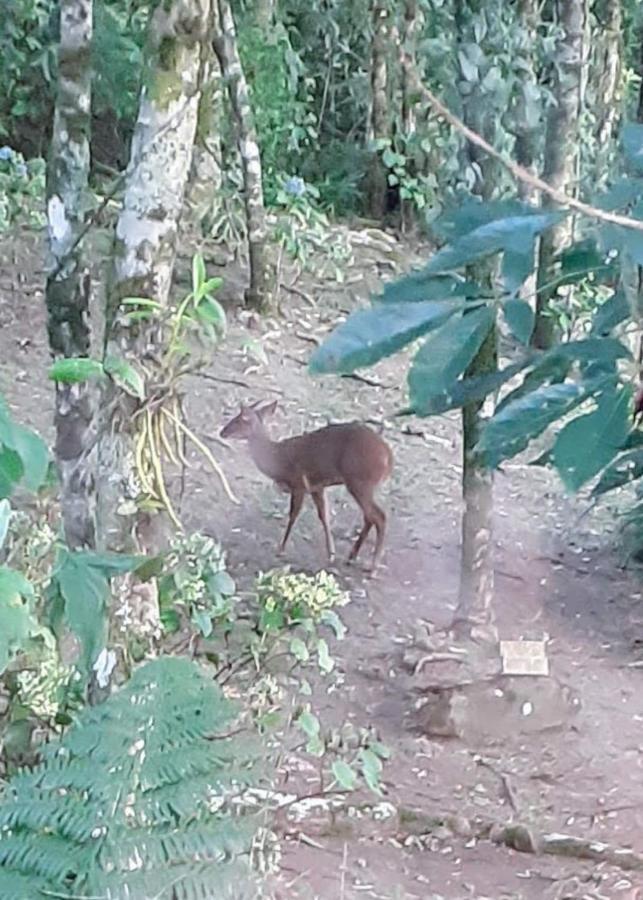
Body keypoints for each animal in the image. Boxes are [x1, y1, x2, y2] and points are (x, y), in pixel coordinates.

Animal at [220, 400, 392, 568]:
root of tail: (388, 457)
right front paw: (331, 554)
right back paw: (352, 557)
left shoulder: (298, 484)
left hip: (360, 482)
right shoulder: (316, 487)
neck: (277, 460)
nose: (222, 432)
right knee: (370, 517)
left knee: (379, 516)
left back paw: (373, 566)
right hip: (362, 484)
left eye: (242, 419)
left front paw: (281, 549)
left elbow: (293, 515)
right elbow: (324, 516)